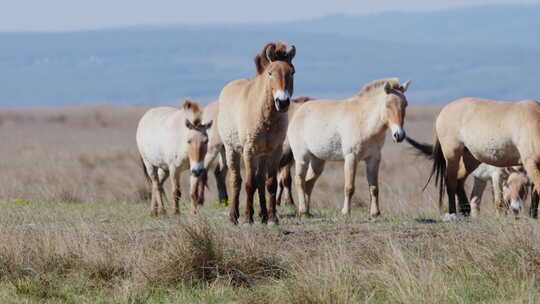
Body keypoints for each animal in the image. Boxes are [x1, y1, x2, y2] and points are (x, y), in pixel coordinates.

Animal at [217, 41, 298, 224]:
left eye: (292, 72)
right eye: (270, 73)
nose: (282, 102)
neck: (266, 117)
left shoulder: (275, 151)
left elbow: (271, 183)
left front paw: (273, 218)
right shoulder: (249, 151)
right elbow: (249, 184)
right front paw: (248, 218)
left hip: (262, 155)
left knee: (261, 181)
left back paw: (263, 214)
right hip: (232, 150)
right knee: (236, 180)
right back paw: (234, 216)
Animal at [288, 78, 412, 216]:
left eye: (405, 104)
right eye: (387, 105)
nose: (399, 135)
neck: (364, 121)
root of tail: (298, 112)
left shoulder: (374, 159)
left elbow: (374, 188)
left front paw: (375, 213)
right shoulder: (351, 158)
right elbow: (349, 187)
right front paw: (346, 212)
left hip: (318, 161)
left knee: (308, 183)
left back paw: (307, 212)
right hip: (302, 158)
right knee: (300, 181)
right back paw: (303, 210)